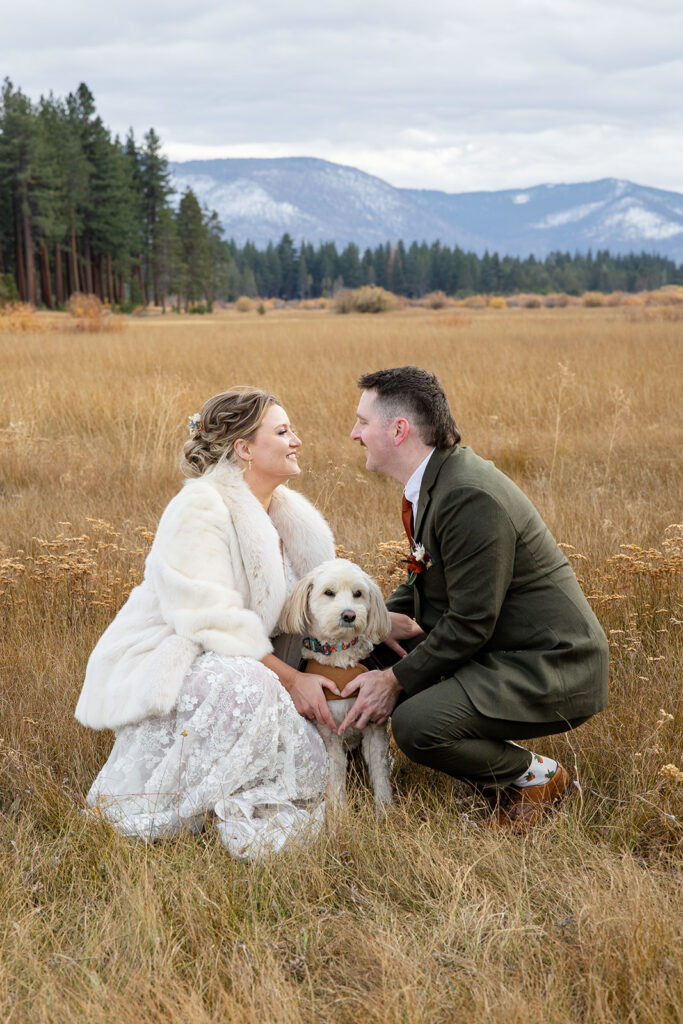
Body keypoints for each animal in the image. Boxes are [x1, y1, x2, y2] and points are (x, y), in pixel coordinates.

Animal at [278, 557, 393, 811]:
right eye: (329, 592)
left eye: (358, 593)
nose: (349, 615)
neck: (340, 656)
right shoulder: (328, 732)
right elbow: (336, 772)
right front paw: (338, 811)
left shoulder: (373, 724)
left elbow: (379, 769)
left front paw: (384, 809)